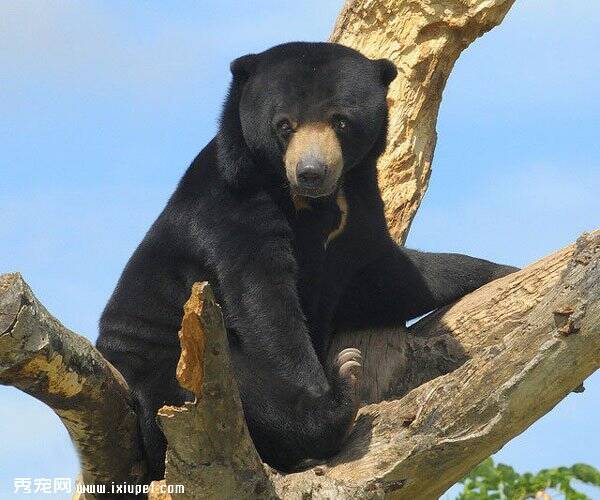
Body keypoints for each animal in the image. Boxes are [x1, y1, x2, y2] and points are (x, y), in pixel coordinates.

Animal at [96, 41, 516, 478]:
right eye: (284, 125)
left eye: (341, 121)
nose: (311, 172)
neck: (312, 203)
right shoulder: (232, 208)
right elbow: (266, 303)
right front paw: (324, 398)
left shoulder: (359, 212)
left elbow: (386, 277)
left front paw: (503, 271)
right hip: (171, 366)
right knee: (241, 388)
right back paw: (341, 391)